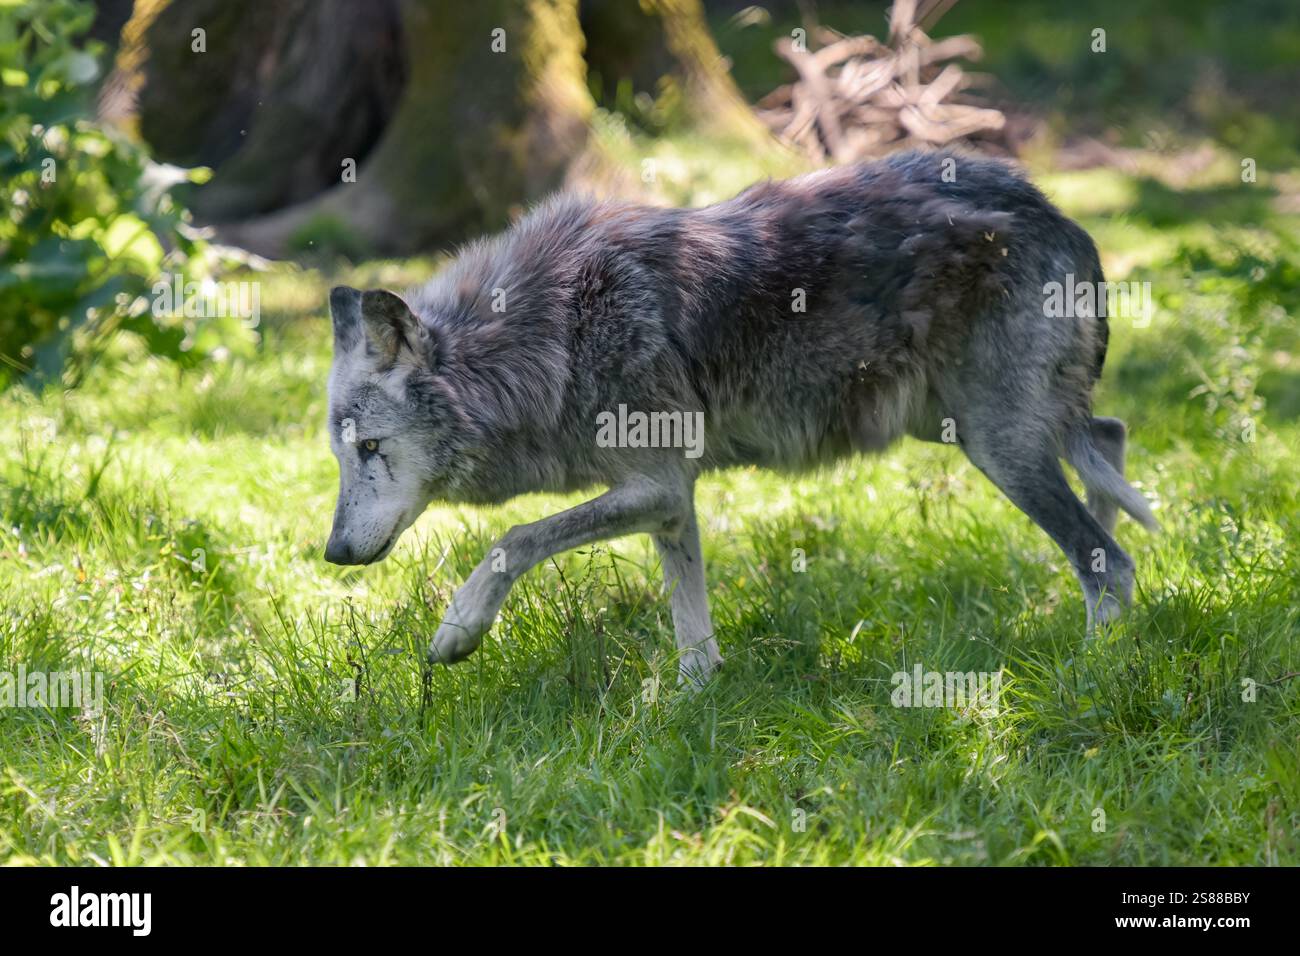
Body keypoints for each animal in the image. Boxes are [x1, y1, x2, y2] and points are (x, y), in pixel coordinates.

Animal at [324, 149, 1157, 686]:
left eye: (370, 448)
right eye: (339, 458)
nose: (331, 552)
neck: (551, 332)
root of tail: (1053, 209)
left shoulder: (656, 486)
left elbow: (513, 538)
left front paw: (457, 631)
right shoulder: (670, 501)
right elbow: (692, 632)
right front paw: (693, 707)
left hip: (995, 445)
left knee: (1108, 562)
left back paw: (1092, 674)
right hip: (965, 427)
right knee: (1110, 447)